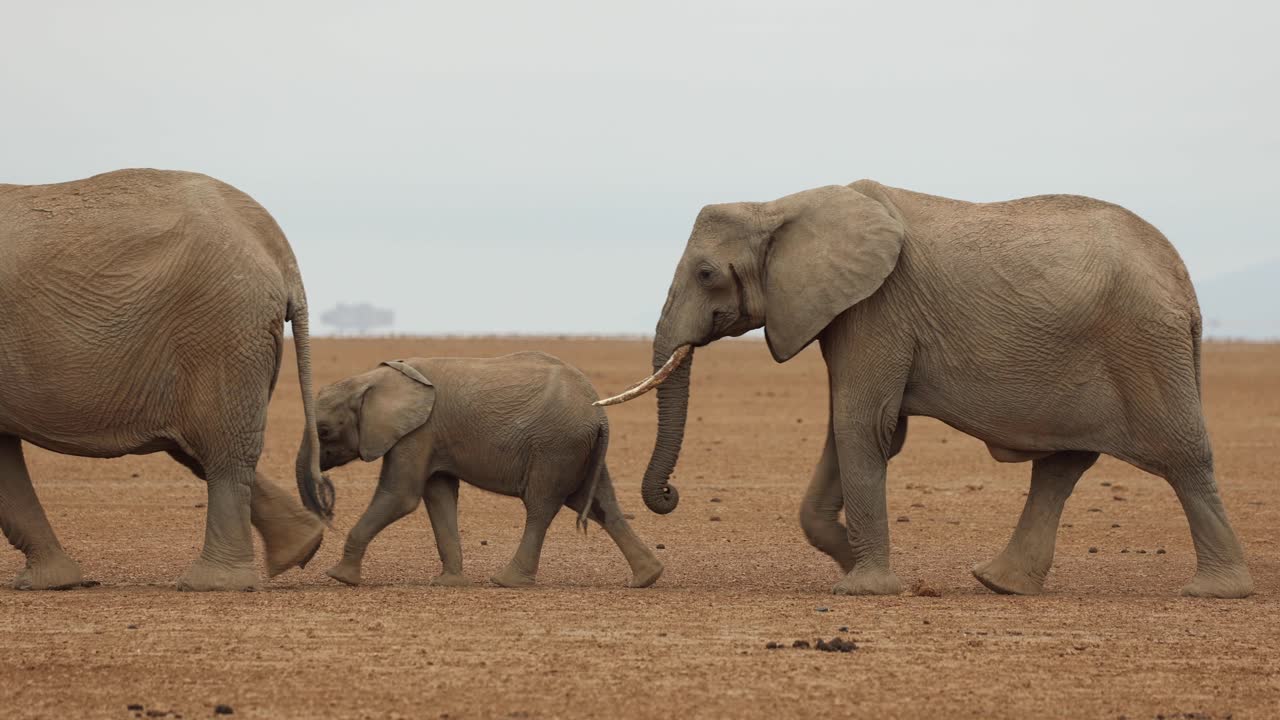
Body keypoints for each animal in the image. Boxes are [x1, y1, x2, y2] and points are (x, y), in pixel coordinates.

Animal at [0, 168, 335, 591]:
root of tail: (277, 249)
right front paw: (51, 584)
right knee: (198, 449)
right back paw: (300, 549)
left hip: (221, 330)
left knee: (218, 449)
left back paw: (211, 583)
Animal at [312, 353, 664, 589]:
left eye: (325, 431)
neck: (373, 379)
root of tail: (599, 413)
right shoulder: (432, 436)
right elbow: (438, 496)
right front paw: (448, 583)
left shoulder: (417, 432)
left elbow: (401, 496)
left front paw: (340, 577)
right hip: (579, 451)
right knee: (601, 505)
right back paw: (647, 578)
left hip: (556, 446)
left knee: (541, 506)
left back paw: (507, 581)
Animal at [598, 179, 1253, 598]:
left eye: (707, 273)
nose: (671, 494)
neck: (779, 204)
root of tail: (1184, 282)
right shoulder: (850, 311)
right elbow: (856, 429)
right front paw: (850, 556)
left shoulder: (878, 307)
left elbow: (862, 424)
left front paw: (863, 587)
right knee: (1062, 466)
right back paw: (999, 584)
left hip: (1144, 345)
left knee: (1182, 459)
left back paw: (1215, 593)